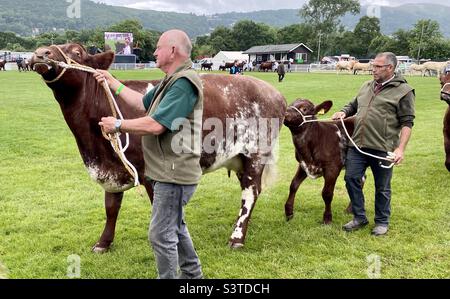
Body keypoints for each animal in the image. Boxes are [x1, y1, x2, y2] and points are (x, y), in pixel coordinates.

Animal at [29, 43, 286, 252]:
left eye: (76, 52)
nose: (41, 53)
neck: (92, 144)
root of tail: (273, 92)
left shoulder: (150, 174)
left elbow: (158, 213)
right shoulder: (111, 168)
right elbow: (111, 207)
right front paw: (103, 243)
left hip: (256, 154)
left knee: (250, 192)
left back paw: (237, 237)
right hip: (240, 157)